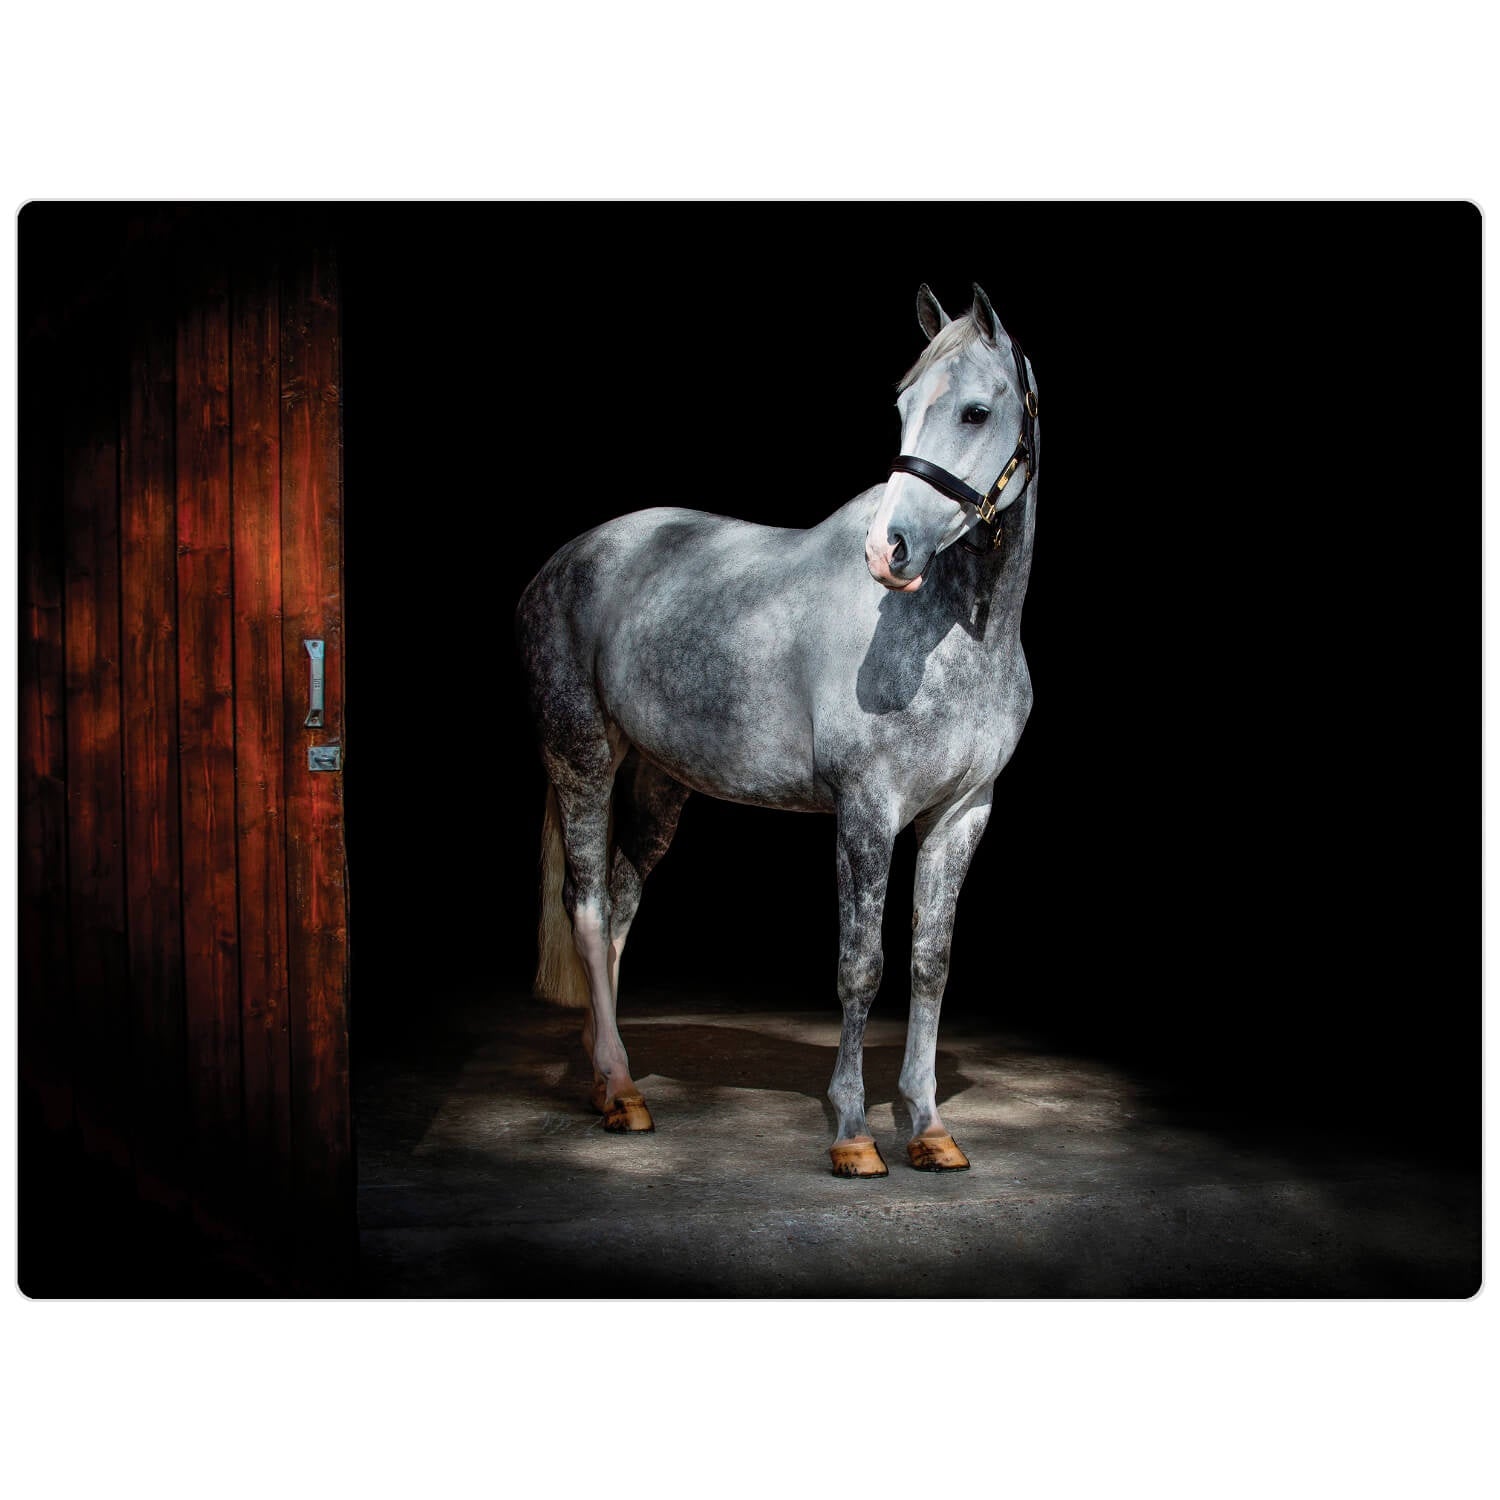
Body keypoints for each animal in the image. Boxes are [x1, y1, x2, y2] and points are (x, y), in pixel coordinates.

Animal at [515, 282, 1039, 1177]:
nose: (888, 549)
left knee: (618, 907)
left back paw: (602, 1071)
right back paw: (621, 1091)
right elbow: (861, 966)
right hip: (580, 757)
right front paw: (853, 1132)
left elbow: (929, 963)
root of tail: (564, 561)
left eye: (975, 411)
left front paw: (929, 1127)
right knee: (585, 906)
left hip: (659, 780)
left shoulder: (963, 813)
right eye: (902, 407)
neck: (954, 632)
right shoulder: (867, 810)